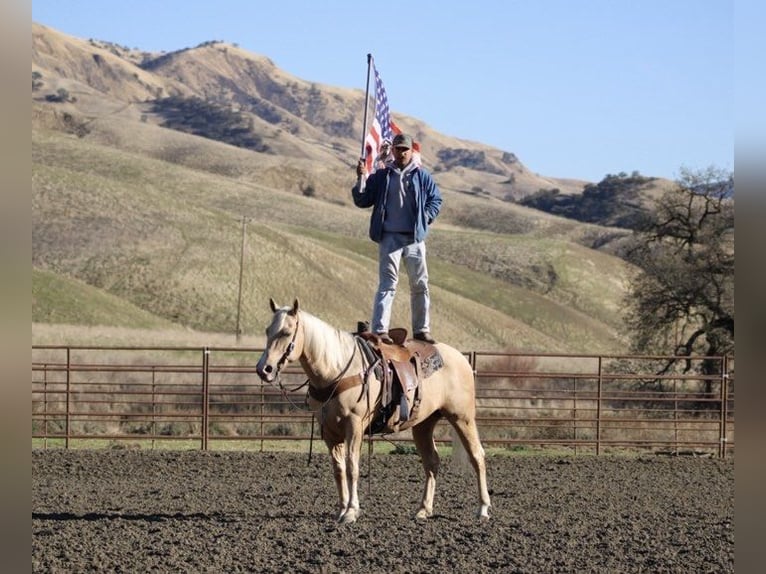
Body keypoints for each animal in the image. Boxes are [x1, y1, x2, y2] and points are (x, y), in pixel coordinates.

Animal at [255, 298, 491, 523]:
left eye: (286, 332)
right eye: (267, 330)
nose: (263, 369)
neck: (336, 368)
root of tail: (461, 359)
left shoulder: (354, 425)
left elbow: (352, 466)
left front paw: (351, 511)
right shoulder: (329, 431)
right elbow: (338, 469)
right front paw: (341, 509)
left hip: (462, 418)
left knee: (477, 456)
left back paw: (482, 509)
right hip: (423, 424)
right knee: (432, 462)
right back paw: (423, 510)